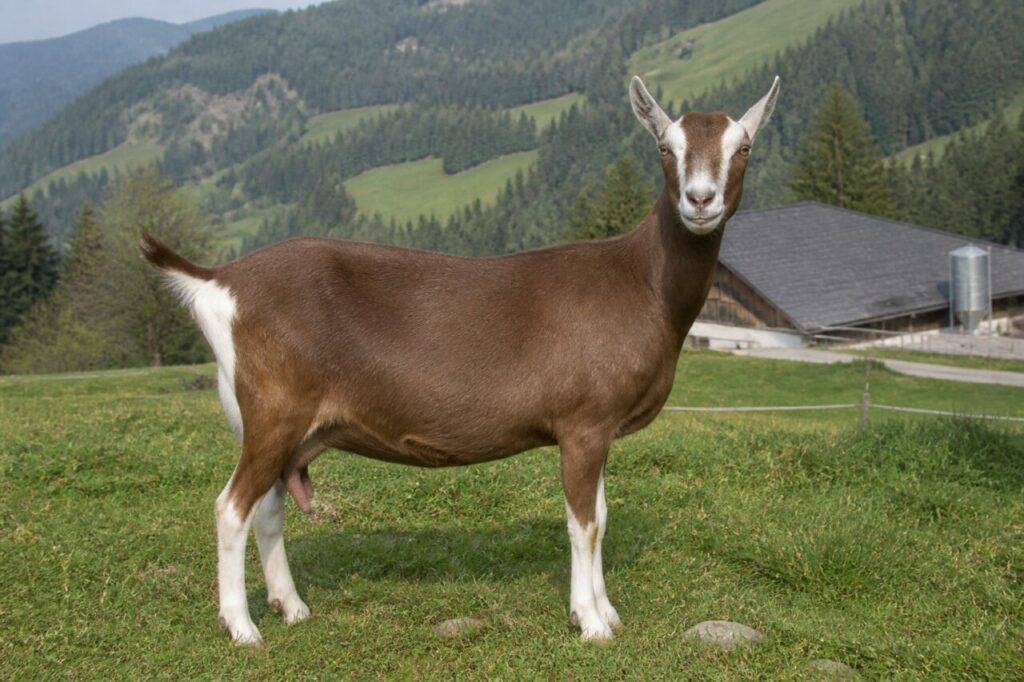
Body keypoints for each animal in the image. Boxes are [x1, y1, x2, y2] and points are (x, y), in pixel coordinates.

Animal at [141, 76, 779, 644]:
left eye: (743, 147)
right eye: (665, 148)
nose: (700, 200)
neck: (642, 282)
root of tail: (220, 282)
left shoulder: (598, 428)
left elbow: (600, 514)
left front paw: (607, 612)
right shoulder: (583, 422)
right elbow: (585, 522)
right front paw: (592, 624)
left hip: (280, 425)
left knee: (268, 510)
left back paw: (291, 609)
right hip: (274, 410)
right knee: (231, 508)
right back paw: (242, 628)